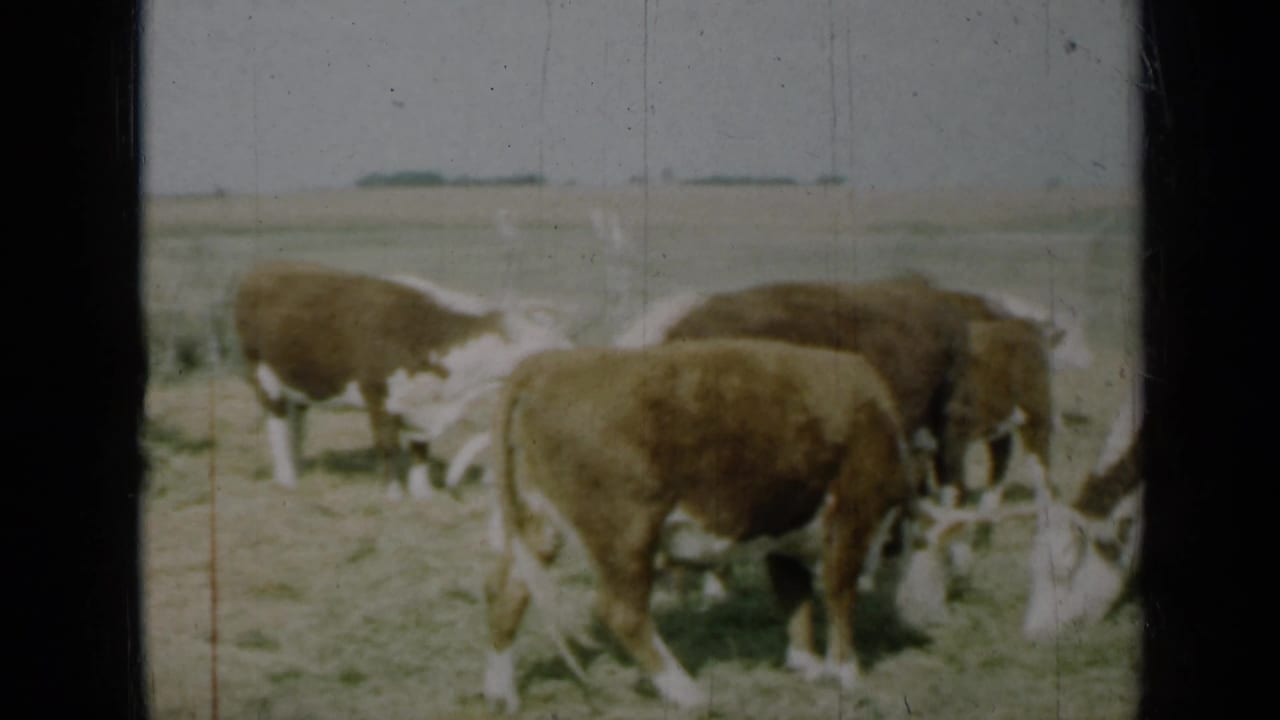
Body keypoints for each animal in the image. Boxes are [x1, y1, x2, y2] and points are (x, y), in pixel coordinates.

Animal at [233, 261, 572, 500]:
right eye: (547, 348)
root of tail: (265, 269)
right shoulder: (378, 397)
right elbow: (388, 446)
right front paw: (394, 493)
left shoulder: (423, 403)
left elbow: (421, 448)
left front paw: (423, 492)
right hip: (264, 378)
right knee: (277, 425)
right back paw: (286, 477)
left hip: (299, 385)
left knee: (296, 425)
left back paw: (298, 466)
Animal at [482, 338, 965, 712]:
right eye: (946, 557)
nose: (937, 620)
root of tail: (551, 364)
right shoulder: (854, 515)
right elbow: (838, 592)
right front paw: (846, 671)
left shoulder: (783, 528)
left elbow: (795, 594)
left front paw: (804, 662)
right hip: (625, 530)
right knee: (622, 612)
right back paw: (686, 691)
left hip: (538, 523)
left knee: (508, 593)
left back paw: (501, 694)